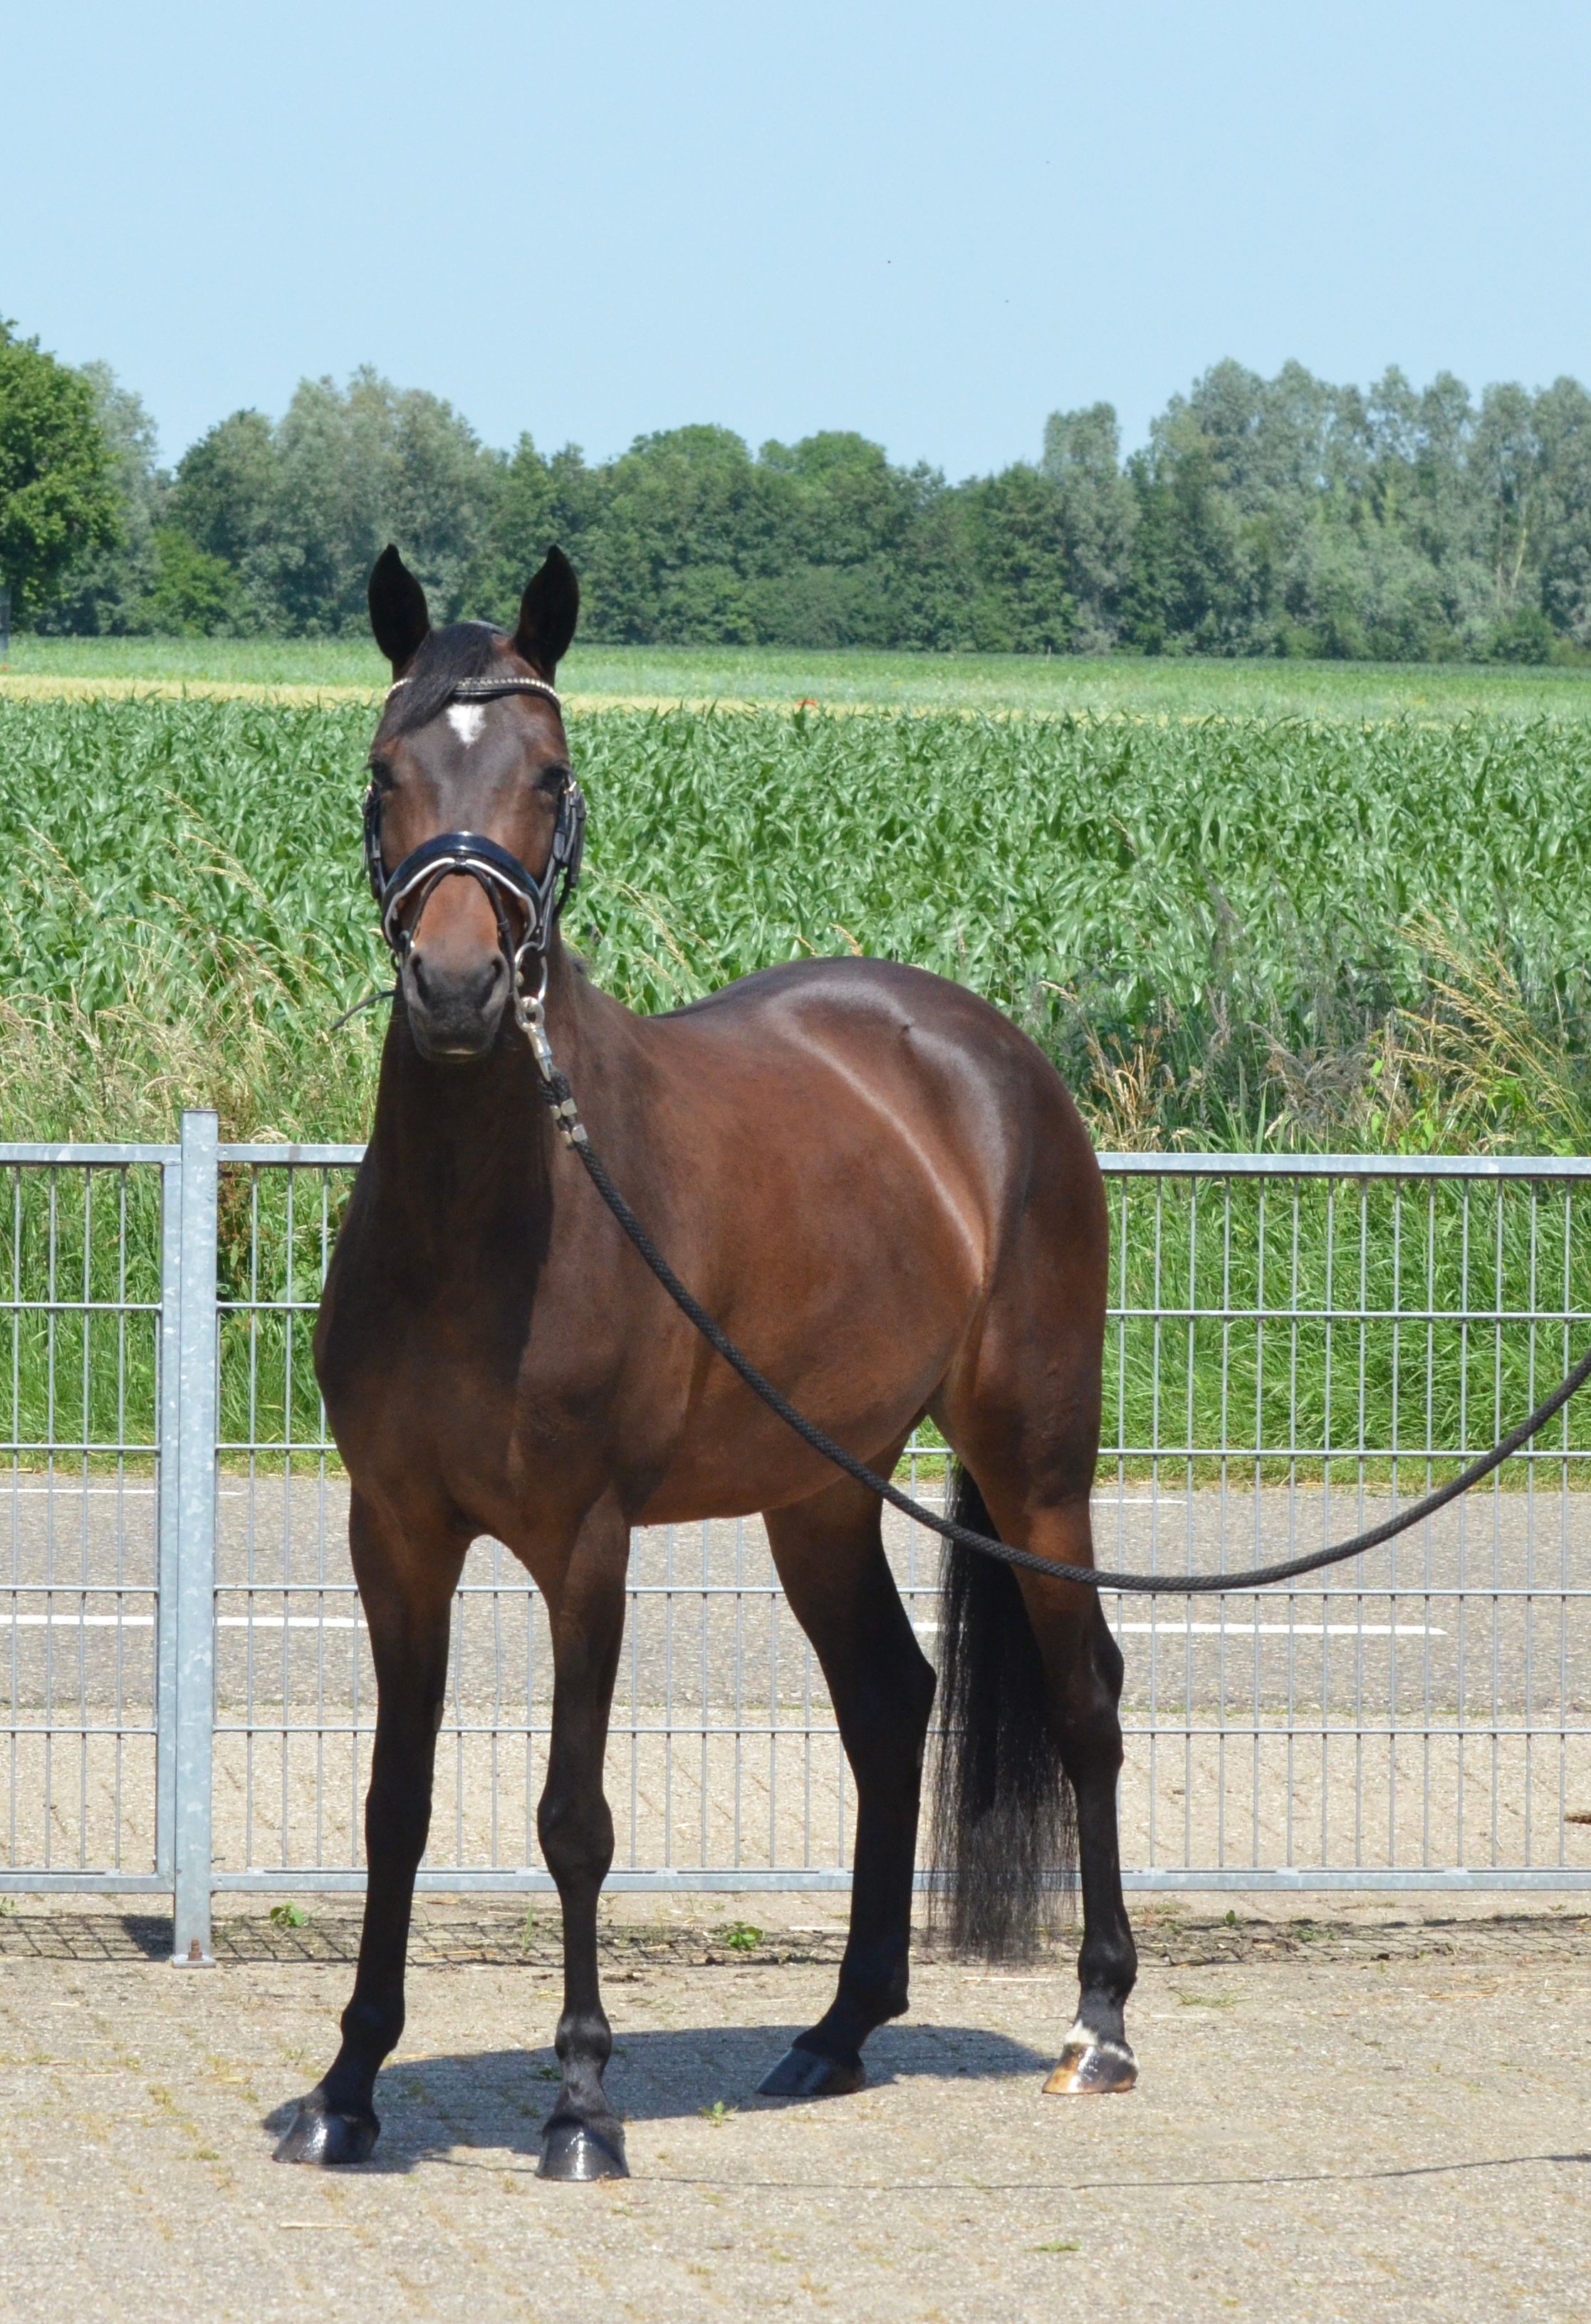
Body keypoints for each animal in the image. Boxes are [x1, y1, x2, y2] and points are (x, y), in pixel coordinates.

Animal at [274, 544, 1138, 2179]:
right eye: (381, 770)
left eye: (550, 772)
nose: (458, 991)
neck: (488, 1217)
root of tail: (980, 1053)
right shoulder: (393, 1533)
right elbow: (391, 1803)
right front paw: (349, 2084)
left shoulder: (584, 1541)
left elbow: (573, 1816)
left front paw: (581, 2104)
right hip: (820, 1490)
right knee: (889, 1703)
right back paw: (839, 2029)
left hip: (1036, 1464)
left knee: (1086, 1701)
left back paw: (1098, 2025)